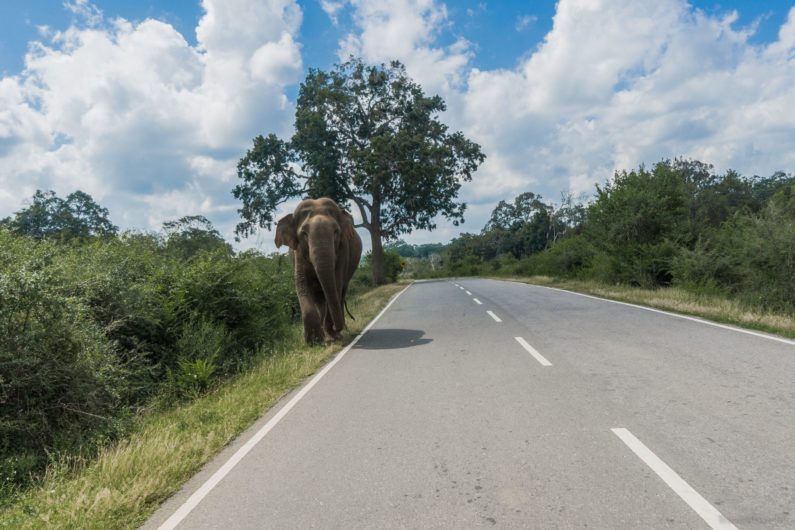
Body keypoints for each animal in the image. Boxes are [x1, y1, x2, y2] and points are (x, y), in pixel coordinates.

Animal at [275, 198, 363, 344]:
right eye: (304, 234)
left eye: (336, 231)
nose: (336, 328)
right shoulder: (298, 252)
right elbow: (302, 284)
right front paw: (313, 341)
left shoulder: (343, 250)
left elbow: (336, 284)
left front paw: (332, 337)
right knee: (319, 298)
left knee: (340, 292)